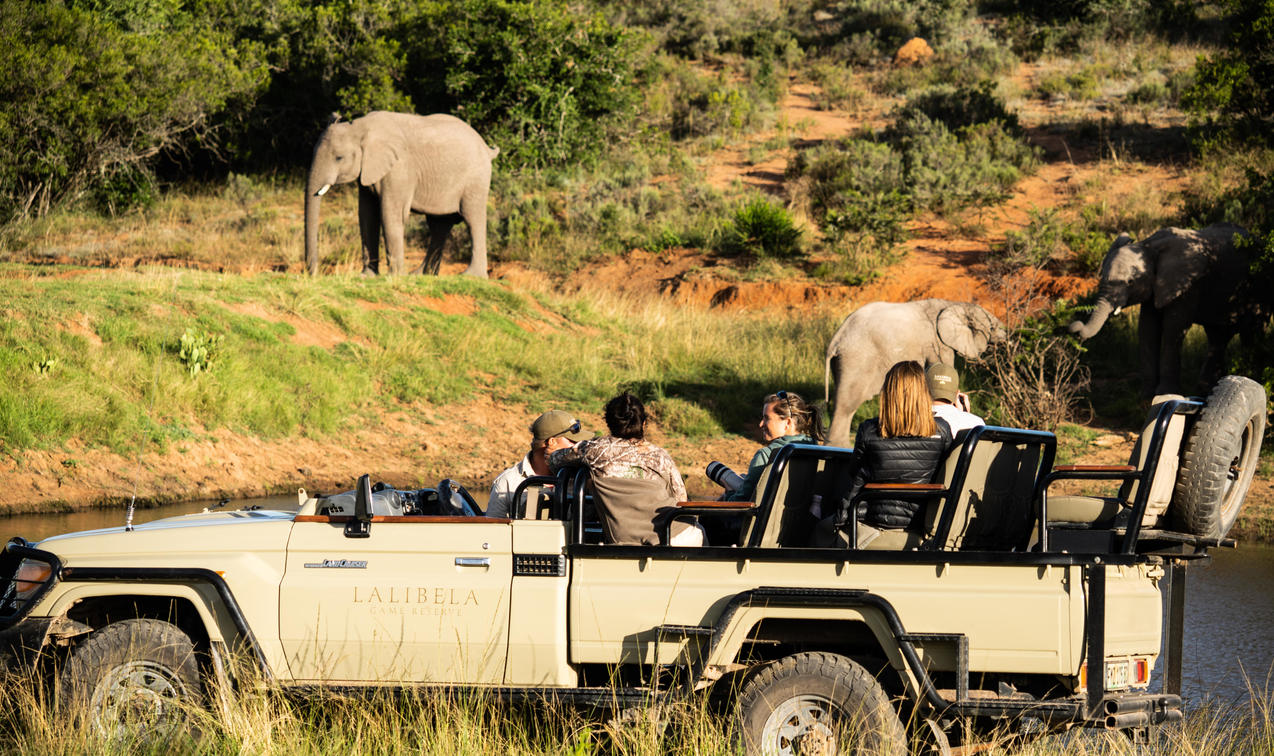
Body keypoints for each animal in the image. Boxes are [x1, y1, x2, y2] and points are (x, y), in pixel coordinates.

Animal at [825, 298, 1003, 446]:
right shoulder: (938, 343)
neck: (954, 304)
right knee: (848, 403)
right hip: (857, 359)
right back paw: (839, 446)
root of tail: (837, 338)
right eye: (992, 327)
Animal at [1065, 223, 1253, 395]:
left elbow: (1173, 328)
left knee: (1251, 331)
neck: (1149, 245)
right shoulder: (1155, 287)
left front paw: (1165, 394)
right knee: (1217, 337)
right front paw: (1146, 394)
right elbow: (1147, 328)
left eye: (1130, 282)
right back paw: (1206, 390)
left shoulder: (1188, 284)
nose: (1074, 326)